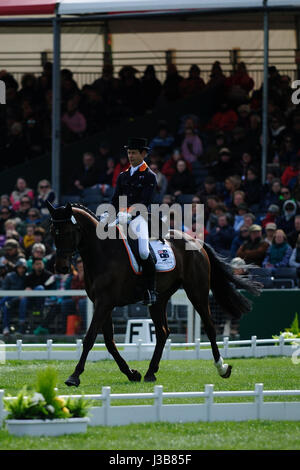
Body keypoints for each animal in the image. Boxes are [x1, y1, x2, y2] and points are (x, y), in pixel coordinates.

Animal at [47, 200, 260, 388]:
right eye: (52, 232)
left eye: (68, 232)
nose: (61, 267)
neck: (102, 252)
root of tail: (195, 242)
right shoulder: (102, 303)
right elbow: (109, 342)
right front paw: (132, 373)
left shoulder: (105, 303)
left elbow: (90, 338)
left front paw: (74, 376)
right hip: (159, 299)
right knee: (163, 332)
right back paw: (150, 372)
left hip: (197, 291)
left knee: (209, 327)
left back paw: (222, 367)